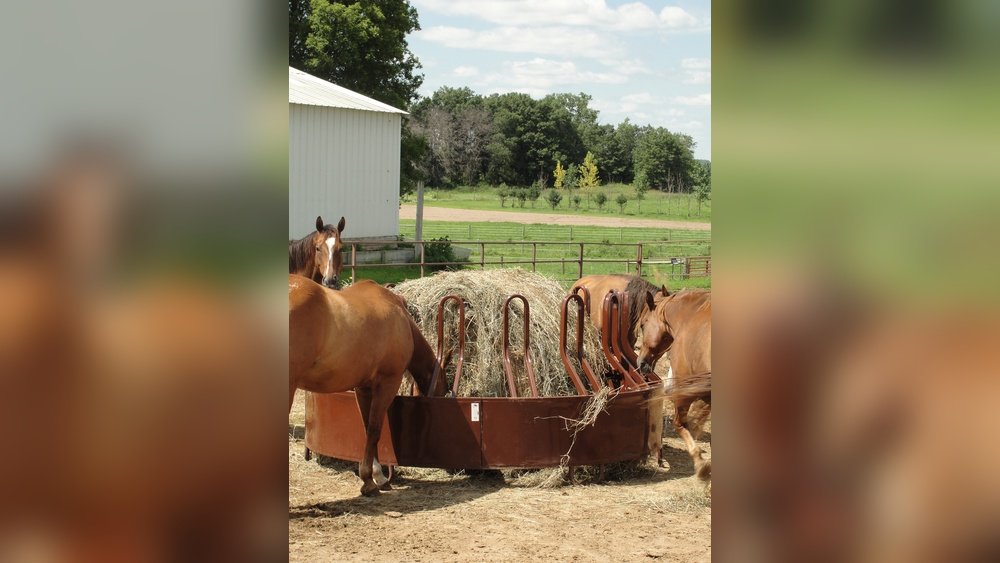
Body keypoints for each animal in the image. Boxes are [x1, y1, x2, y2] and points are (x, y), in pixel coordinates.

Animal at [288, 275, 446, 496]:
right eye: (444, 387)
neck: (401, 317)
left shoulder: (363, 388)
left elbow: (366, 427)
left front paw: (377, 475)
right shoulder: (388, 383)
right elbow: (374, 429)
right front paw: (369, 481)